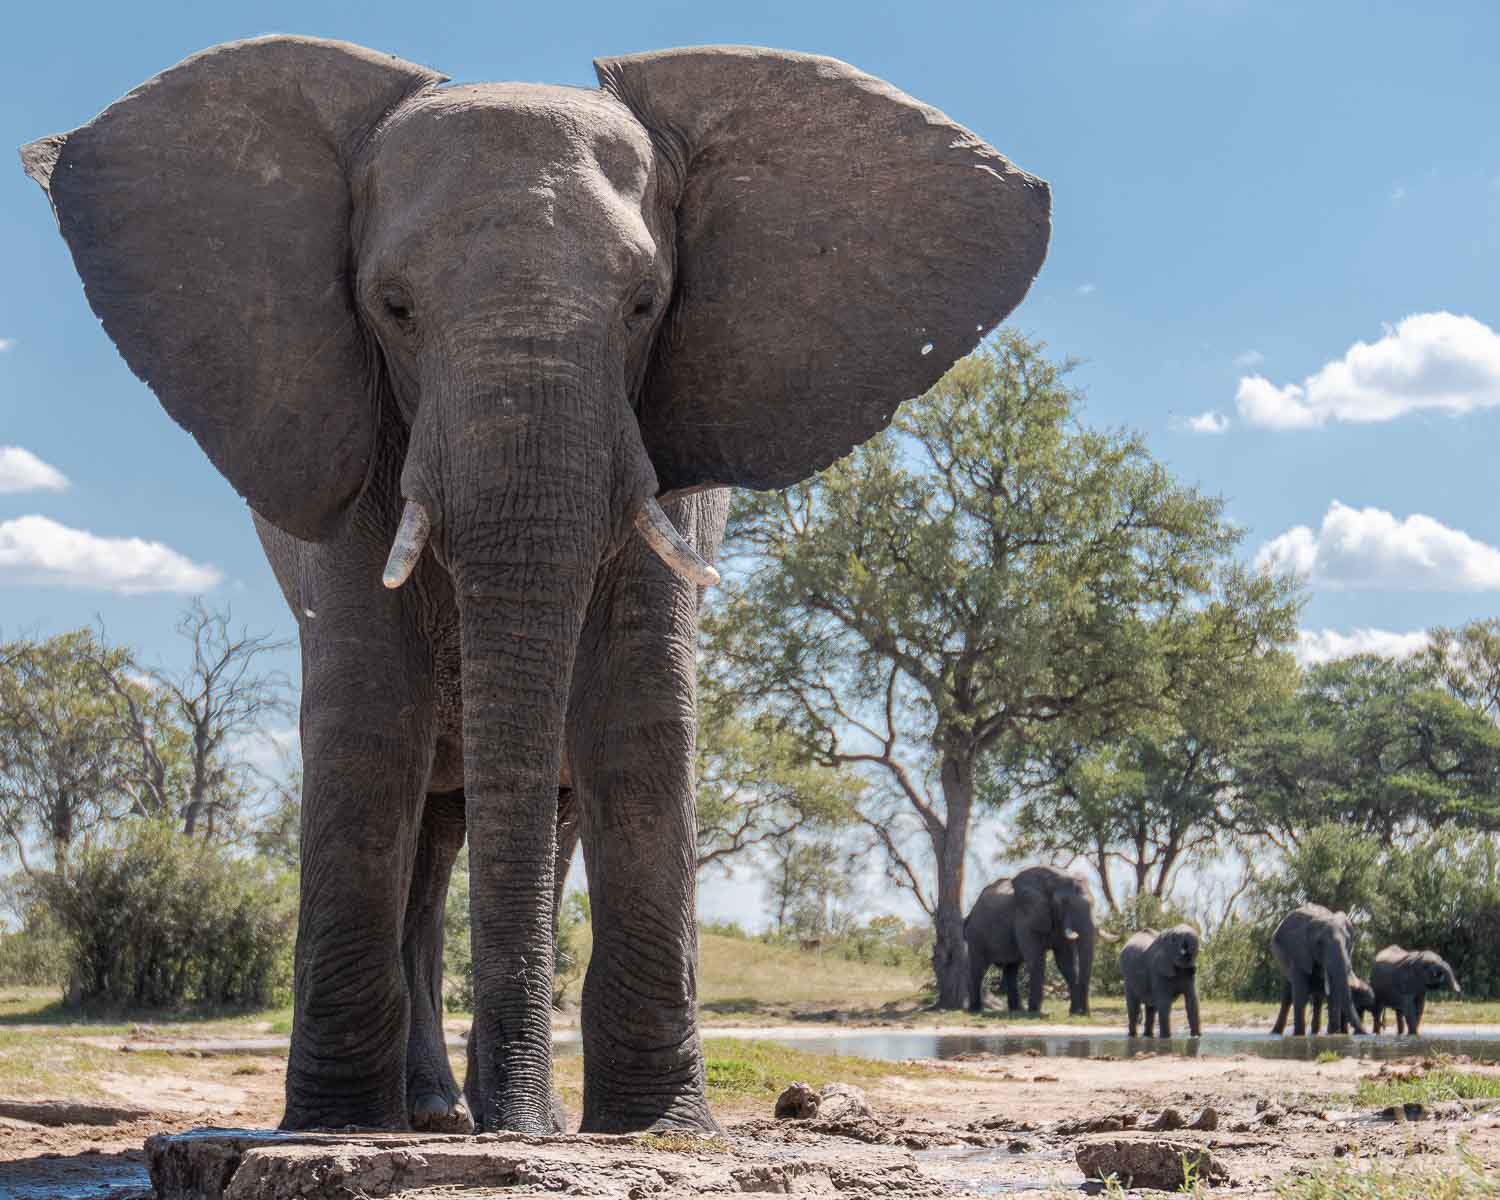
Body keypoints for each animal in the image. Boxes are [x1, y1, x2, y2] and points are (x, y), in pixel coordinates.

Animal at [22, 37, 1049, 1135]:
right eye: (392, 307)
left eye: (644, 305)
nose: (517, 1130)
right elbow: (366, 713)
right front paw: (334, 1127)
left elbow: (640, 711)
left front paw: (648, 1131)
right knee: (427, 834)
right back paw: (434, 1116)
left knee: (524, 819)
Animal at [964, 866, 1110, 1016]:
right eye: (1063, 903)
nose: (1085, 1013)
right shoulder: (1026, 918)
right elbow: (1036, 960)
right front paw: (1035, 1013)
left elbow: (1066, 963)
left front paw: (1074, 1013)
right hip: (976, 935)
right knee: (978, 968)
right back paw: (975, 1010)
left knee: (1011, 969)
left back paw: (1017, 1010)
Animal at [1268, 904, 1366, 1037]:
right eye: (1319, 943)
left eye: (1347, 941)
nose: (1365, 1033)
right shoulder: (1298, 953)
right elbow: (1300, 993)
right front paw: (1299, 1036)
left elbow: (1333, 993)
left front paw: (1334, 1035)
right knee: (1287, 997)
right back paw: (1275, 1033)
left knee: (1318, 999)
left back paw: (1316, 1033)